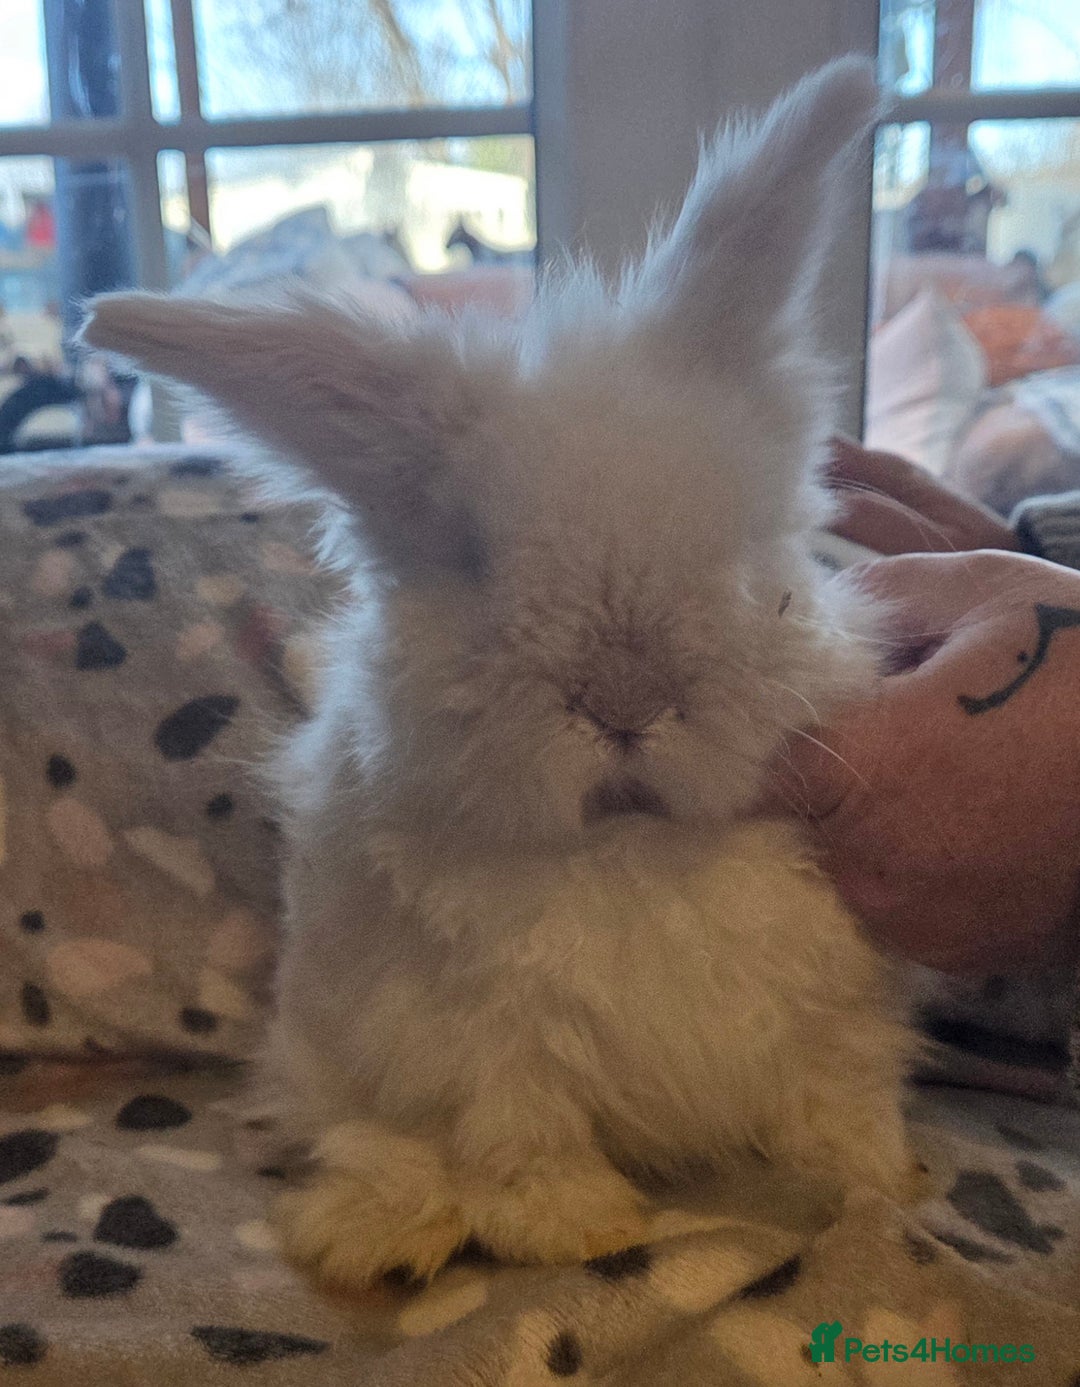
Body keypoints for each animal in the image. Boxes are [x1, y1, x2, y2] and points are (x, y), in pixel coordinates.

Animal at [82, 55, 916, 1295]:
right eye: (474, 559)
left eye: (760, 563)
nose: (625, 702)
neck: (628, 845)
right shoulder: (483, 1039)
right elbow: (518, 1135)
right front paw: (575, 1228)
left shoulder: (835, 1012)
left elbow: (842, 1094)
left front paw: (872, 1181)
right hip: (332, 1041)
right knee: (359, 1132)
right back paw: (373, 1237)